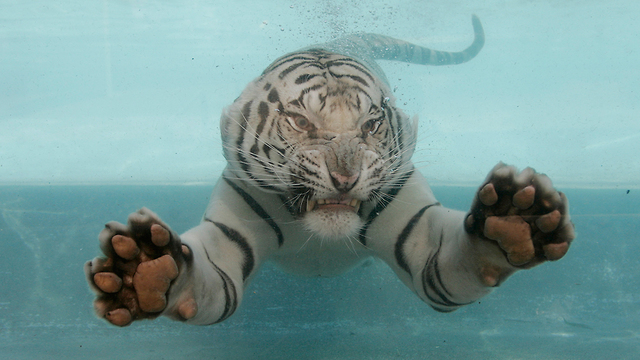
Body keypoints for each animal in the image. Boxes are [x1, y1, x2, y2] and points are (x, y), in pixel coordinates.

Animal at [84, 16, 576, 326]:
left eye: (371, 125)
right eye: (302, 122)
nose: (345, 179)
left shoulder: (420, 235)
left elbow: (463, 258)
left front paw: (514, 222)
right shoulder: (228, 238)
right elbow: (197, 276)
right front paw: (140, 272)